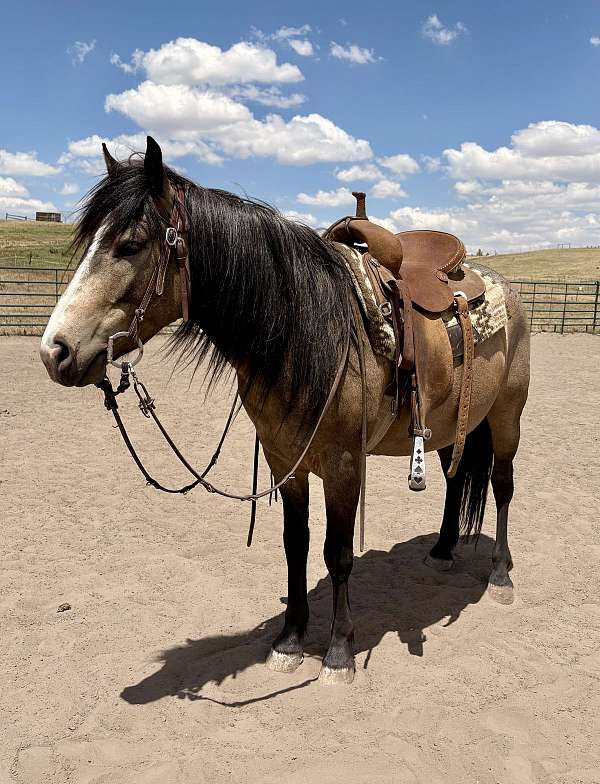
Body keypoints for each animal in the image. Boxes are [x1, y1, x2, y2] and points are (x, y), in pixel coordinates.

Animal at [40, 136, 530, 685]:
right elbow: (296, 544)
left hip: (507, 417)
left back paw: (501, 574)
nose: (55, 350)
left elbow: (338, 553)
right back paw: (443, 550)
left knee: (503, 486)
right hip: (450, 426)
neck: (307, 332)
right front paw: (290, 639)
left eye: (130, 245)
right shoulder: (284, 461)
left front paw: (338, 651)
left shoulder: (343, 464)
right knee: (454, 476)